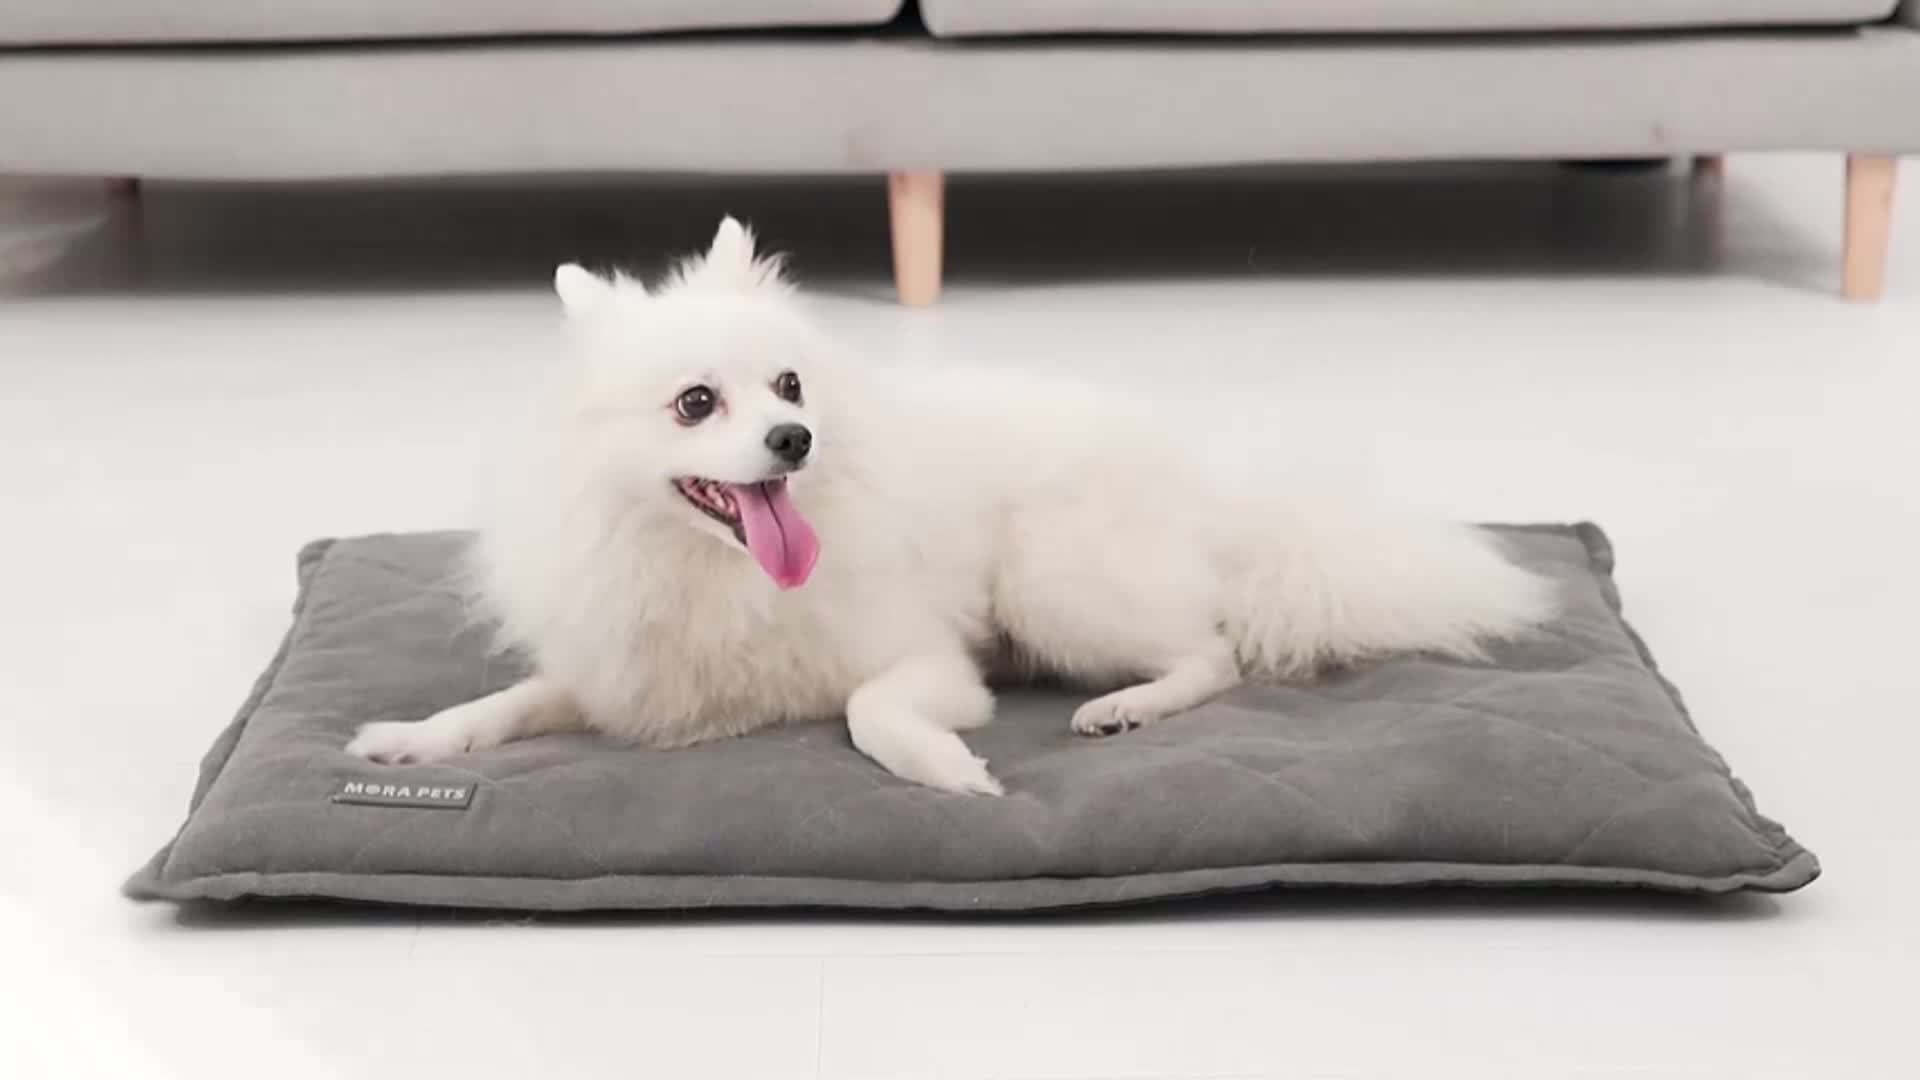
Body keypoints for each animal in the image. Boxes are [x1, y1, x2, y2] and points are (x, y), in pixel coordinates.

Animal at [346, 218, 1555, 794]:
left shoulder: (928, 663)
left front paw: (947, 771)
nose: (795, 440)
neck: (720, 576)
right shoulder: (626, 677)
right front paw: (409, 738)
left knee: (1213, 652)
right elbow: (504, 705)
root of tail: (1209, 506)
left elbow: (867, 709)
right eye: (697, 403)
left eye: (789, 387)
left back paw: (1126, 707)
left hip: (1052, 584)